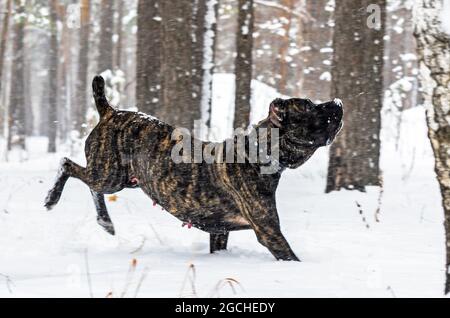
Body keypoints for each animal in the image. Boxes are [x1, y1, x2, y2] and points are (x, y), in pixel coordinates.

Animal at [44, 76, 342, 260]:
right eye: (308, 106)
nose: (337, 101)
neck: (259, 153)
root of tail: (110, 112)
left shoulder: (220, 232)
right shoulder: (269, 232)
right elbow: (290, 256)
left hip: (121, 178)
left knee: (89, 185)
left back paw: (105, 222)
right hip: (108, 175)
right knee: (68, 165)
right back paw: (53, 198)